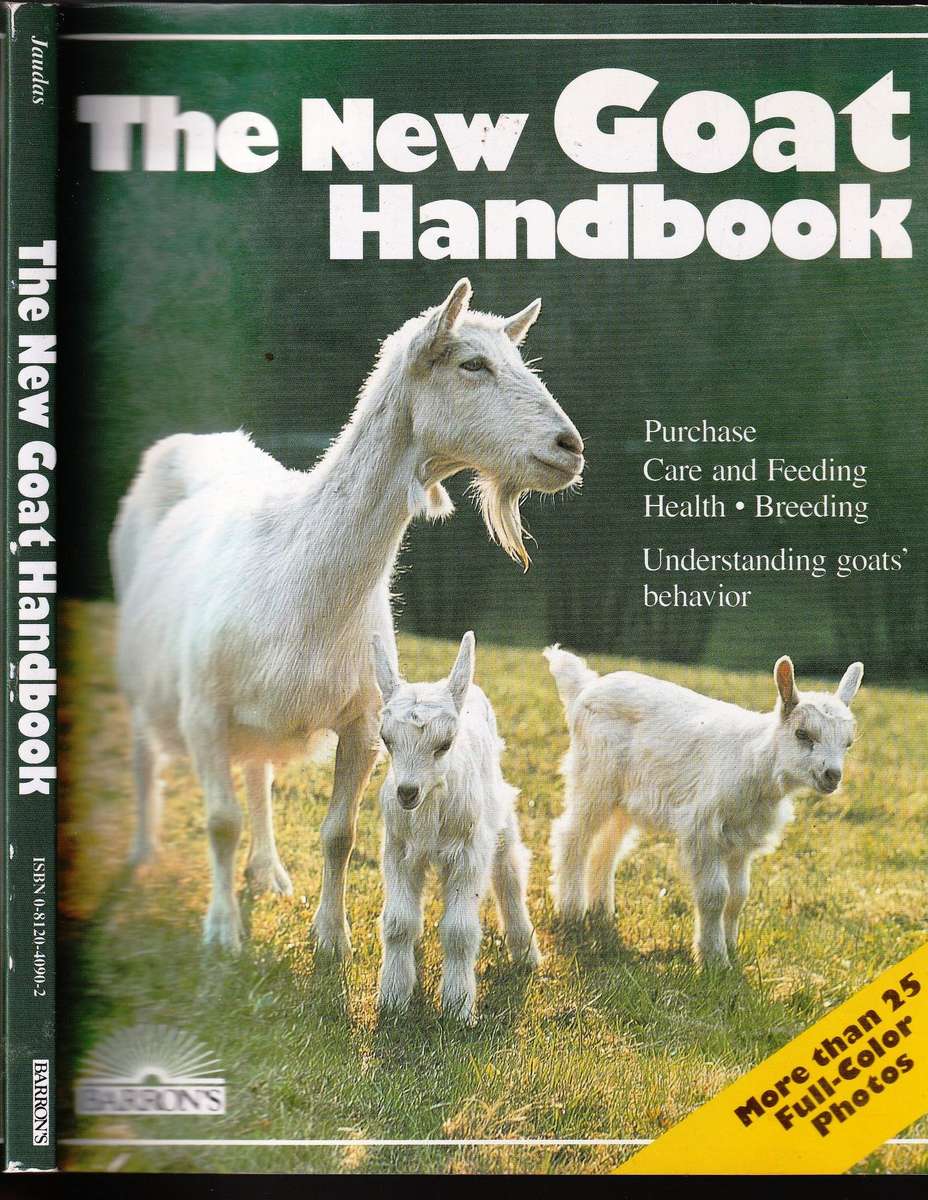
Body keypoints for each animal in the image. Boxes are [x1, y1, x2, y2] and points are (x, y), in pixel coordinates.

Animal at [109, 280, 583, 955]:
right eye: (473, 364)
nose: (569, 448)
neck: (302, 588)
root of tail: (194, 439)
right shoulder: (203, 708)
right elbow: (220, 821)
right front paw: (222, 932)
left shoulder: (362, 718)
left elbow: (339, 833)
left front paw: (332, 938)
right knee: (147, 752)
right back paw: (144, 853)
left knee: (257, 771)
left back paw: (269, 872)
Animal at [373, 632, 541, 1022]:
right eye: (386, 740)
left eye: (444, 744)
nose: (407, 792)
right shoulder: (398, 848)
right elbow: (399, 922)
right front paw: (393, 998)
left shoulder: (469, 851)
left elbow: (460, 930)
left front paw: (457, 1008)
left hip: (498, 810)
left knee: (509, 872)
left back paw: (525, 952)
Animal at [544, 647, 863, 967]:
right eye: (802, 733)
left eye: (848, 743)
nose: (832, 775)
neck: (756, 760)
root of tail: (585, 686)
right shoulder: (703, 830)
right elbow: (715, 895)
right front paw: (714, 959)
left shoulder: (743, 839)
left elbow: (738, 896)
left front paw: (731, 946)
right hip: (594, 777)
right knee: (572, 835)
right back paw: (571, 911)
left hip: (624, 798)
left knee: (607, 847)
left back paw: (601, 912)